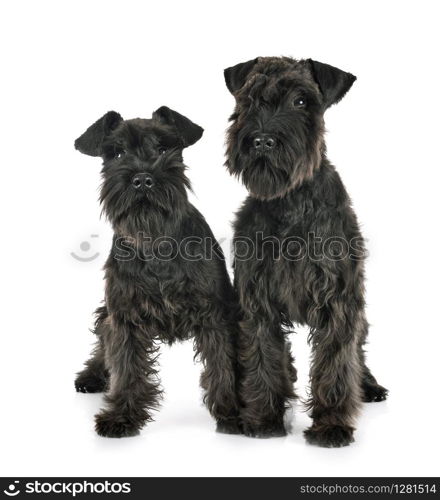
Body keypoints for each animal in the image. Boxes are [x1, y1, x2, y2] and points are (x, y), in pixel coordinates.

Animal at [75, 106, 241, 438]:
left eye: (164, 149)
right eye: (117, 153)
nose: (142, 178)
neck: (156, 242)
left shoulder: (215, 315)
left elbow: (222, 364)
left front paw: (231, 412)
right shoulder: (124, 317)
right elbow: (125, 369)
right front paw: (122, 416)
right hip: (107, 314)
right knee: (103, 344)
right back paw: (90, 376)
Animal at [225, 56, 386, 448]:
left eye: (301, 101)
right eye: (249, 97)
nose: (262, 139)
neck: (290, 201)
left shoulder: (337, 302)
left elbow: (336, 364)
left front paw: (332, 426)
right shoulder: (257, 300)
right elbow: (263, 358)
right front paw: (264, 419)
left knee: (357, 354)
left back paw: (369, 386)